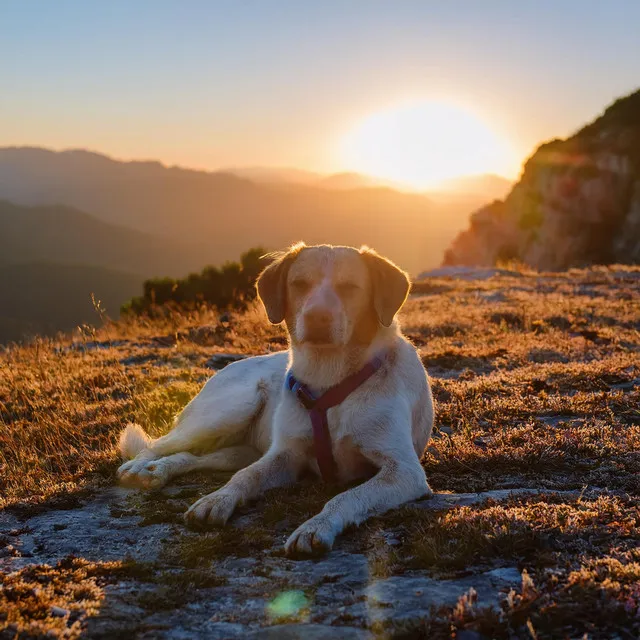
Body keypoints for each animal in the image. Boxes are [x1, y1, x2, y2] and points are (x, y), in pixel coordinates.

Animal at [117, 242, 432, 552]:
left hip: (240, 449)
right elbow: (247, 476)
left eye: (350, 287)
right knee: (161, 444)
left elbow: (347, 496)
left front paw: (316, 526)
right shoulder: (286, 454)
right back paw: (141, 466)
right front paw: (217, 499)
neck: (328, 381)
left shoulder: (404, 471)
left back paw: (159, 469)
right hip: (227, 412)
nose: (318, 317)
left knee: (194, 456)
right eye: (300, 284)